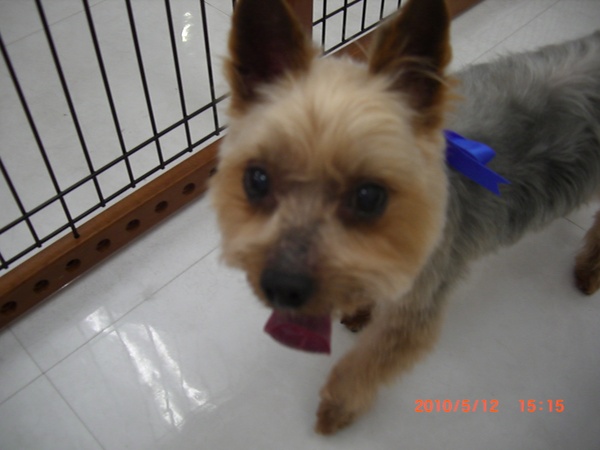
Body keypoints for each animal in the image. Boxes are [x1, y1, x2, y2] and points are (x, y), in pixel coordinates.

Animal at [210, 0, 600, 434]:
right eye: (257, 179)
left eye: (369, 196)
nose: (283, 287)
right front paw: (358, 306)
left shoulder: (414, 309)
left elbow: (363, 366)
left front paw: (336, 408)